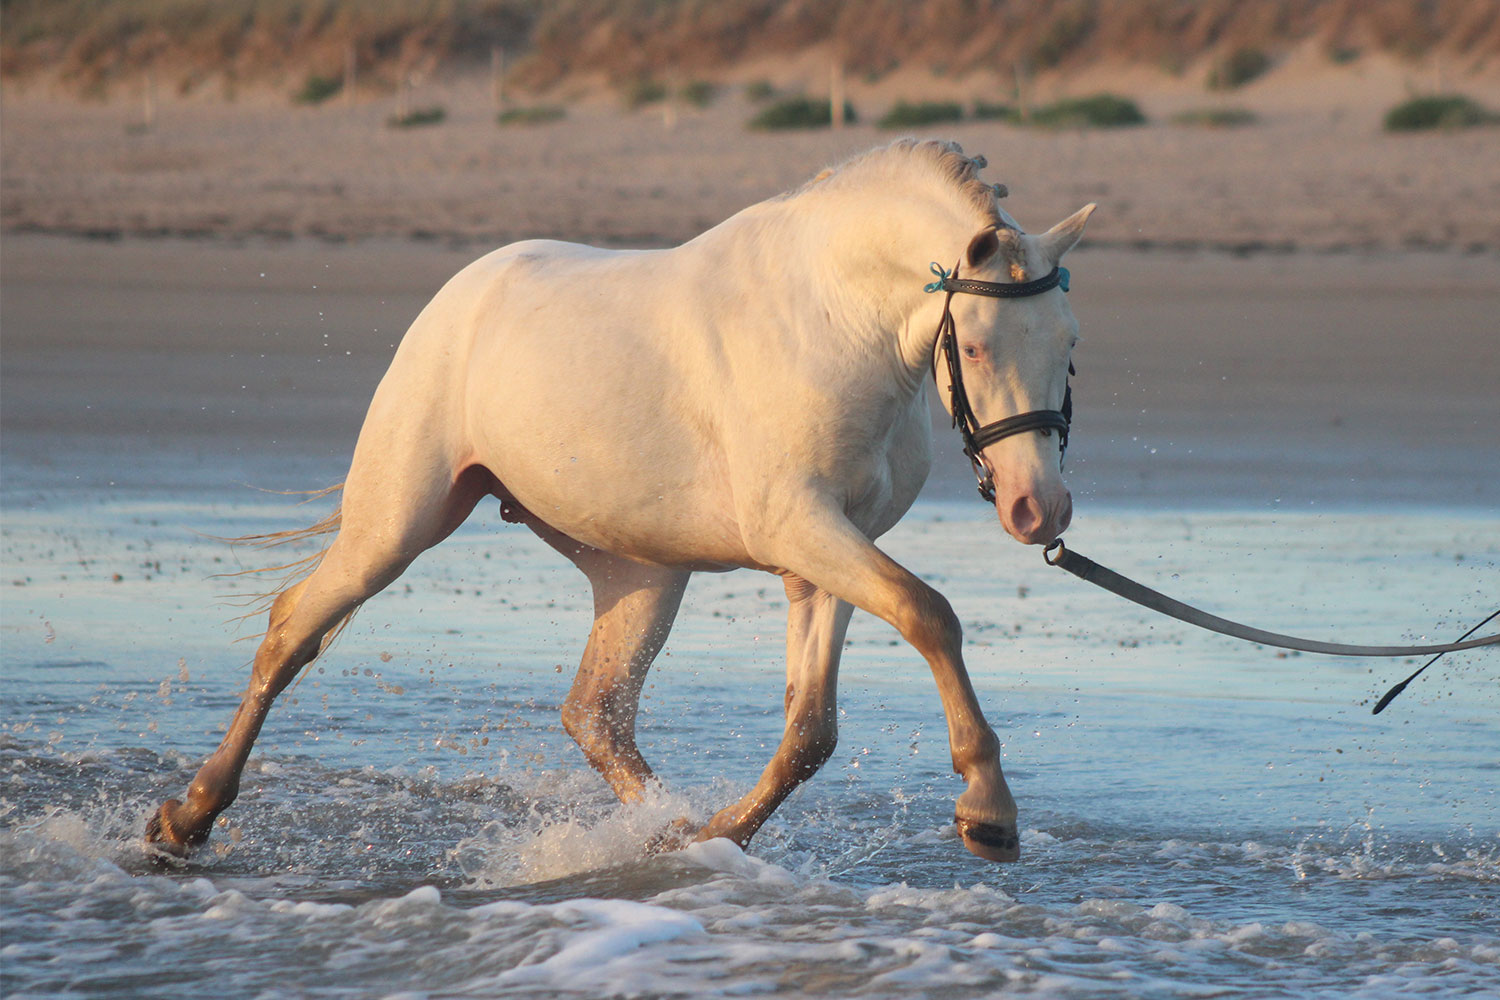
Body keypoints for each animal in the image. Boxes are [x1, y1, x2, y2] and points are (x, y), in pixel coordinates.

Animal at [149, 140, 1092, 869]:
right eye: (976, 345)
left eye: (1070, 345)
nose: (1038, 510)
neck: (834, 324)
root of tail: (462, 293)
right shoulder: (800, 530)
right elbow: (931, 616)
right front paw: (988, 809)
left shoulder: (823, 554)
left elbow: (810, 733)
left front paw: (709, 839)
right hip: (396, 525)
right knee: (291, 630)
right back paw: (186, 819)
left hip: (639, 573)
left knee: (594, 713)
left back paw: (664, 827)